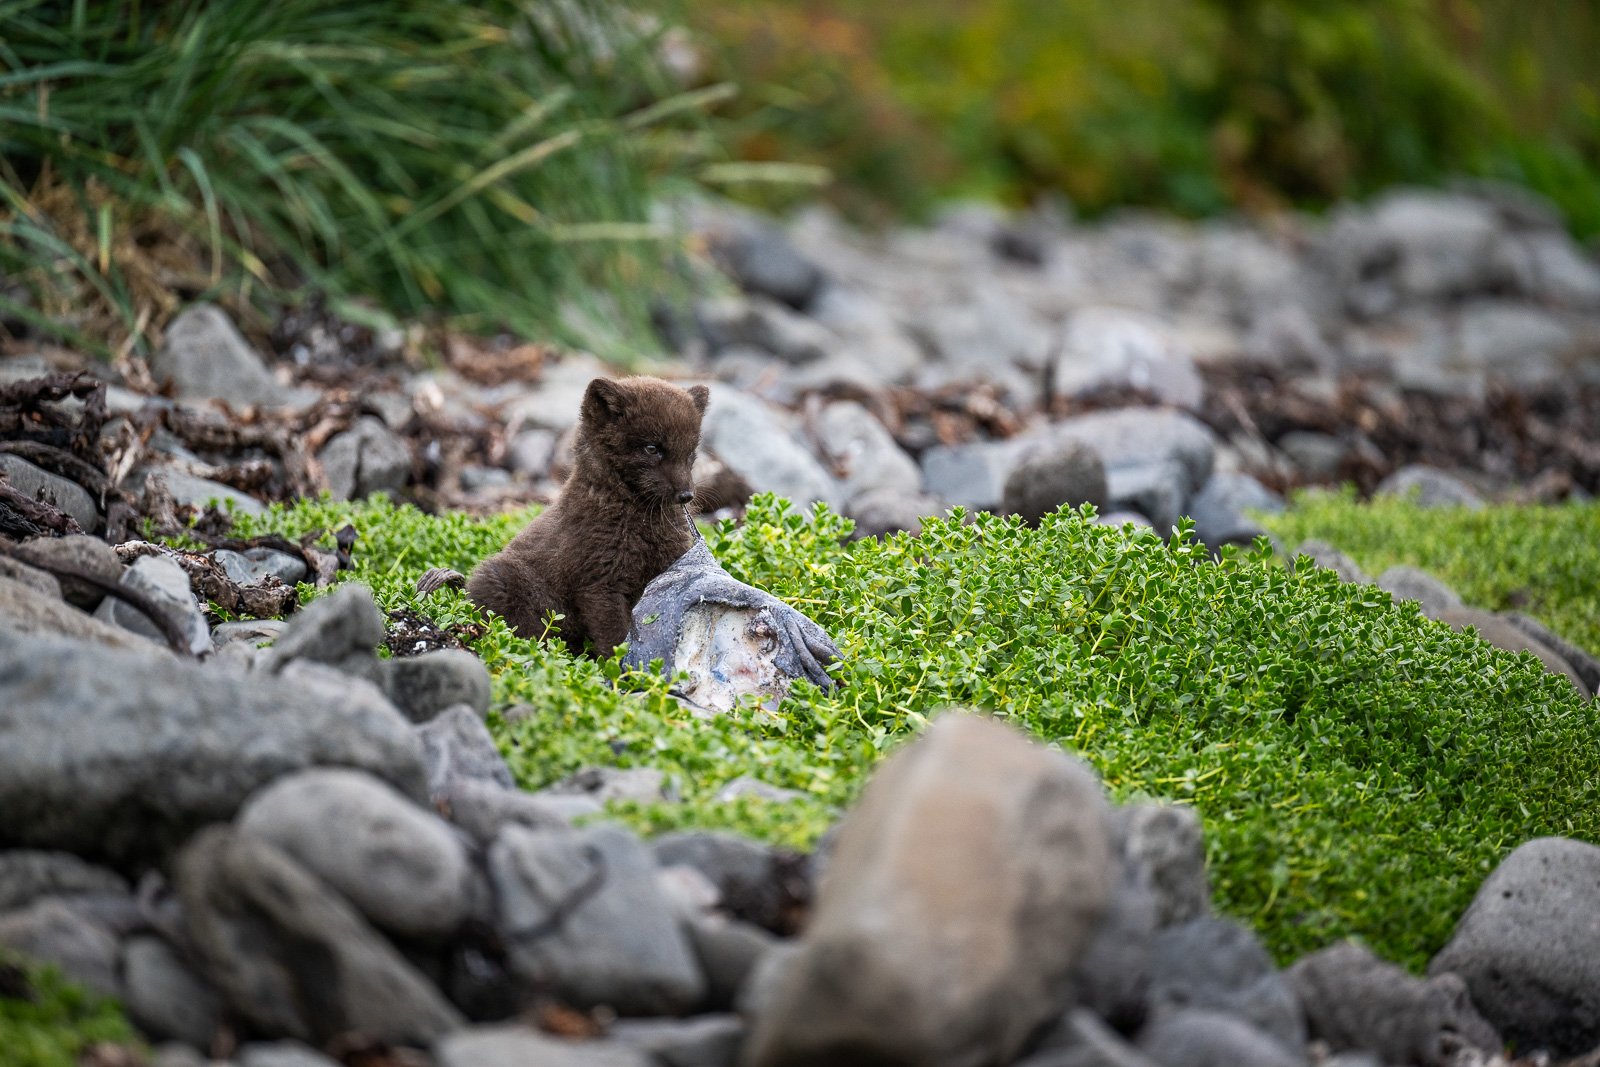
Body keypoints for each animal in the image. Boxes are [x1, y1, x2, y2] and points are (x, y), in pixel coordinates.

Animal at [467, 375, 710, 657]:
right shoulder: (600, 583)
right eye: (652, 448)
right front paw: (619, 666)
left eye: (690, 452)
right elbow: (615, 639)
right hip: (503, 582)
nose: (686, 495)